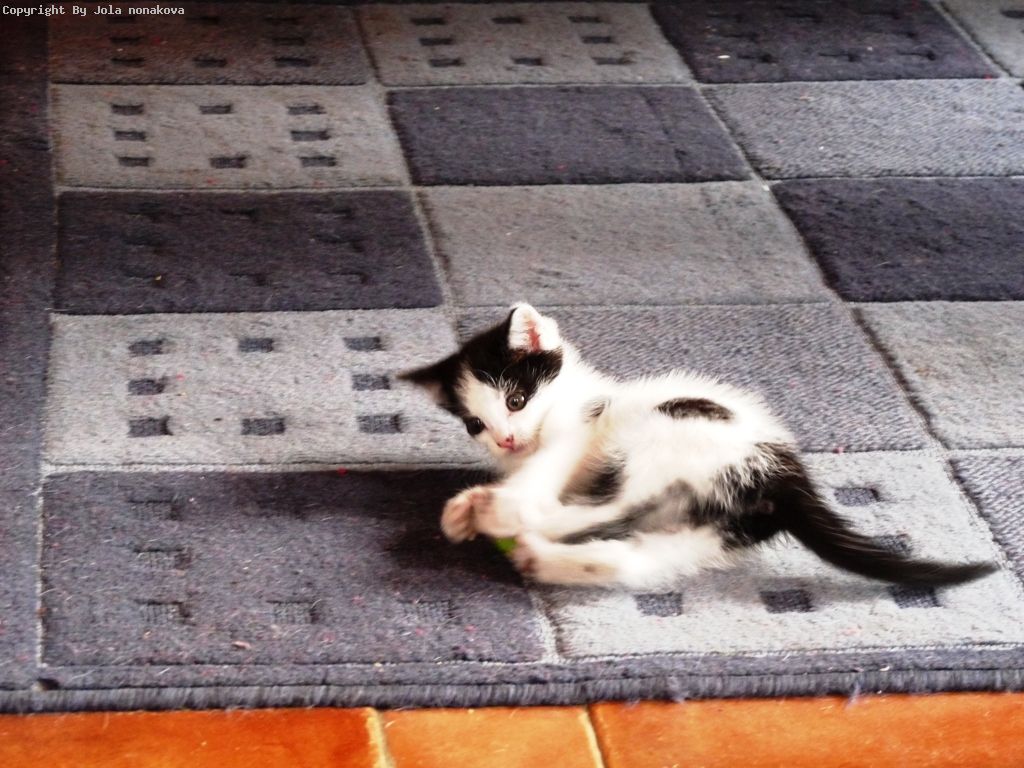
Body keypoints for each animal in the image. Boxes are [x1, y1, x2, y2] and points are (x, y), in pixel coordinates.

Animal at [401, 302, 995, 590]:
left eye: (518, 398)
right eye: (474, 423)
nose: (505, 438)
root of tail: (785, 480)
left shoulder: (578, 430)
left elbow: (547, 468)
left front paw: (486, 503)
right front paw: (462, 507)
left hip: (667, 436)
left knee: (609, 509)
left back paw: (504, 517)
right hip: (714, 528)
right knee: (637, 556)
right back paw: (544, 558)